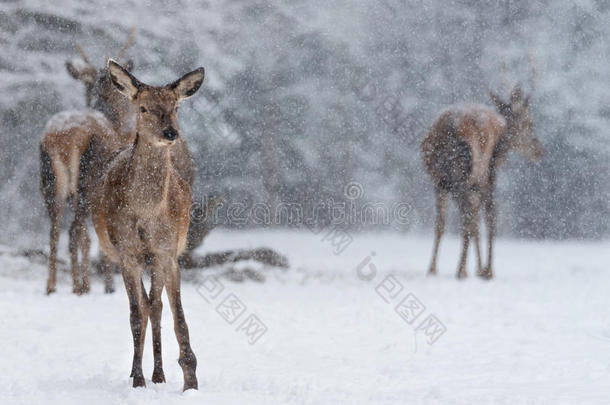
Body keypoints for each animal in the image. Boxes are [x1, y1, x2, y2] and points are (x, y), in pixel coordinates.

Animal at [90, 59, 203, 388]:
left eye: (175, 106)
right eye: (143, 108)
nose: (170, 132)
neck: (147, 215)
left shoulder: (167, 252)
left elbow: (174, 314)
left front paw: (189, 378)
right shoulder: (127, 253)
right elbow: (135, 315)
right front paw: (138, 379)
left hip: (159, 259)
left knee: (157, 305)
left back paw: (160, 373)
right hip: (127, 256)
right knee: (142, 305)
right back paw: (139, 371)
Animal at [418, 66, 540, 280]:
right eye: (529, 122)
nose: (540, 151)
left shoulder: (443, 183)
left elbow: (450, 223)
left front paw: (436, 269)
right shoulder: (481, 179)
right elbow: (478, 220)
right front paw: (480, 268)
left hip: (455, 177)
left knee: (461, 218)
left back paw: (451, 269)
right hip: (478, 175)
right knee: (486, 216)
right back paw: (480, 270)